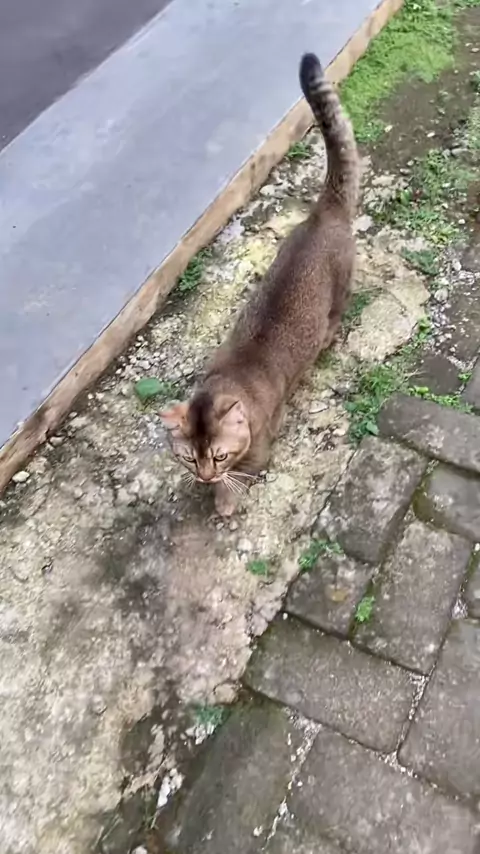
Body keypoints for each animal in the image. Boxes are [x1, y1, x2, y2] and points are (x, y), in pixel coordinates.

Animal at [160, 52, 359, 516]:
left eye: (219, 456)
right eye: (188, 458)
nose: (204, 474)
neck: (231, 380)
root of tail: (322, 213)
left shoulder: (265, 435)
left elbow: (246, 471)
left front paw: (223, 498)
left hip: (339, 292)